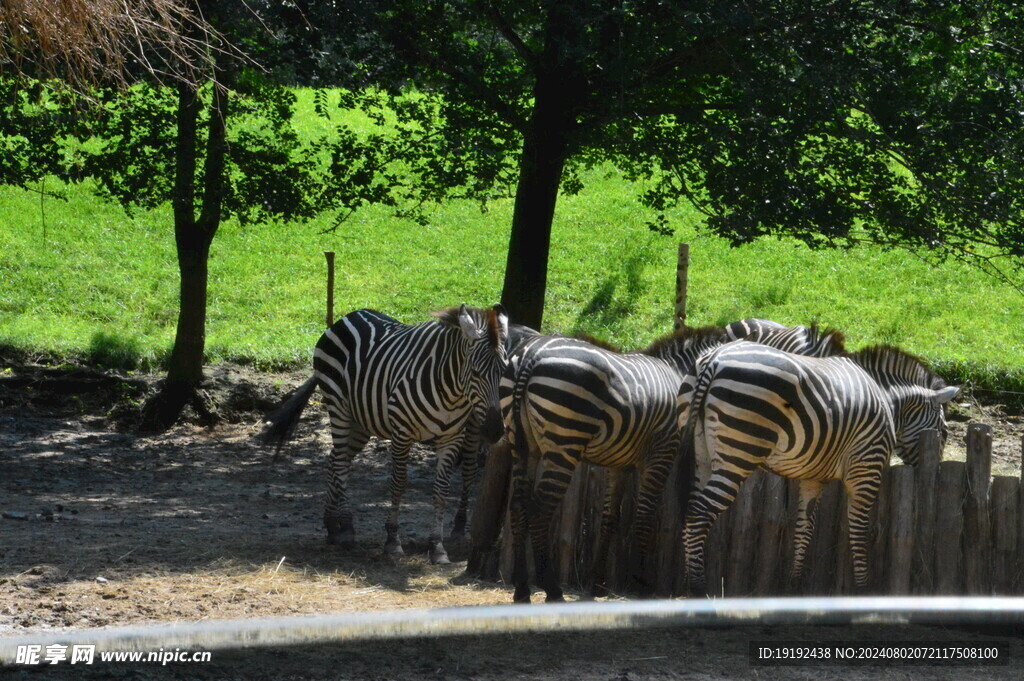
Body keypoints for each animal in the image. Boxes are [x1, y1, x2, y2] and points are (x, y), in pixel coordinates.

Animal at [260, 303, 507, 561]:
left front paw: (437, 547)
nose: (494, 430)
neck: (451, 392)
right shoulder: (402, 434)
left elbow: (441, 490)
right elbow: (398, 484)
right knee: (340, 463)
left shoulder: (452, 438)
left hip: (361, 422)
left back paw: (332, 526)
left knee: (335, 459)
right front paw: (392, 541)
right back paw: (347, 529)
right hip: (338, 407)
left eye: (504, 370)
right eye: (476, 372)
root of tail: (348, 316)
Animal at [503, 319, 847, 602]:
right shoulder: (662, 453)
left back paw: (521, 590)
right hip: (564, 442)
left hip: (523, 445)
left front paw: (596, 584)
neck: (683, 371)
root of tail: (531, 354)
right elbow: (644, 518)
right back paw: (552, 591)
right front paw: (643, 585)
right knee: (540, 510)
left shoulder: (619, 463)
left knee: (518, 508)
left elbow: (611, 519)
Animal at [679, 339, 958, 593]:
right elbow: (859, 530)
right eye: (944, 431)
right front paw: (863, 589)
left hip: (702, 454)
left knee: (690, 511)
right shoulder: (866, 469)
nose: (932, 474)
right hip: (739, 453)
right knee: (699, 514)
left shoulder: (812, 478)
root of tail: (714, 358)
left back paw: (690, 585)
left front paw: (794, 586)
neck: (887, 401)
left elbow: (805, 529)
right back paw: (699, 588)